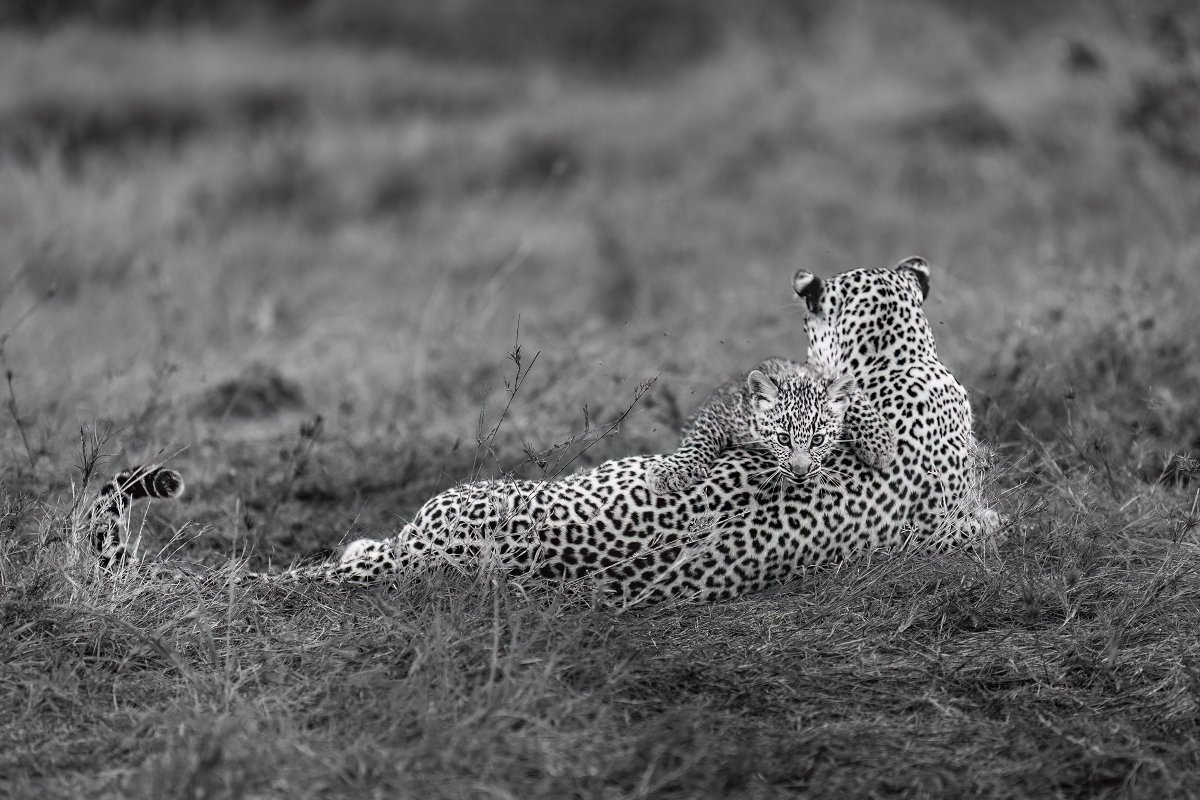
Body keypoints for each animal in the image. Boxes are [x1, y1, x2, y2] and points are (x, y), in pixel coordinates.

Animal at [646, 357, 896, 495]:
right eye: (783, 439)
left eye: (817, 440)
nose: (800, 472)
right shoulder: (720, 409)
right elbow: (699, 439)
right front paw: (670, 471)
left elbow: (853, 397)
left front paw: (880, 444)